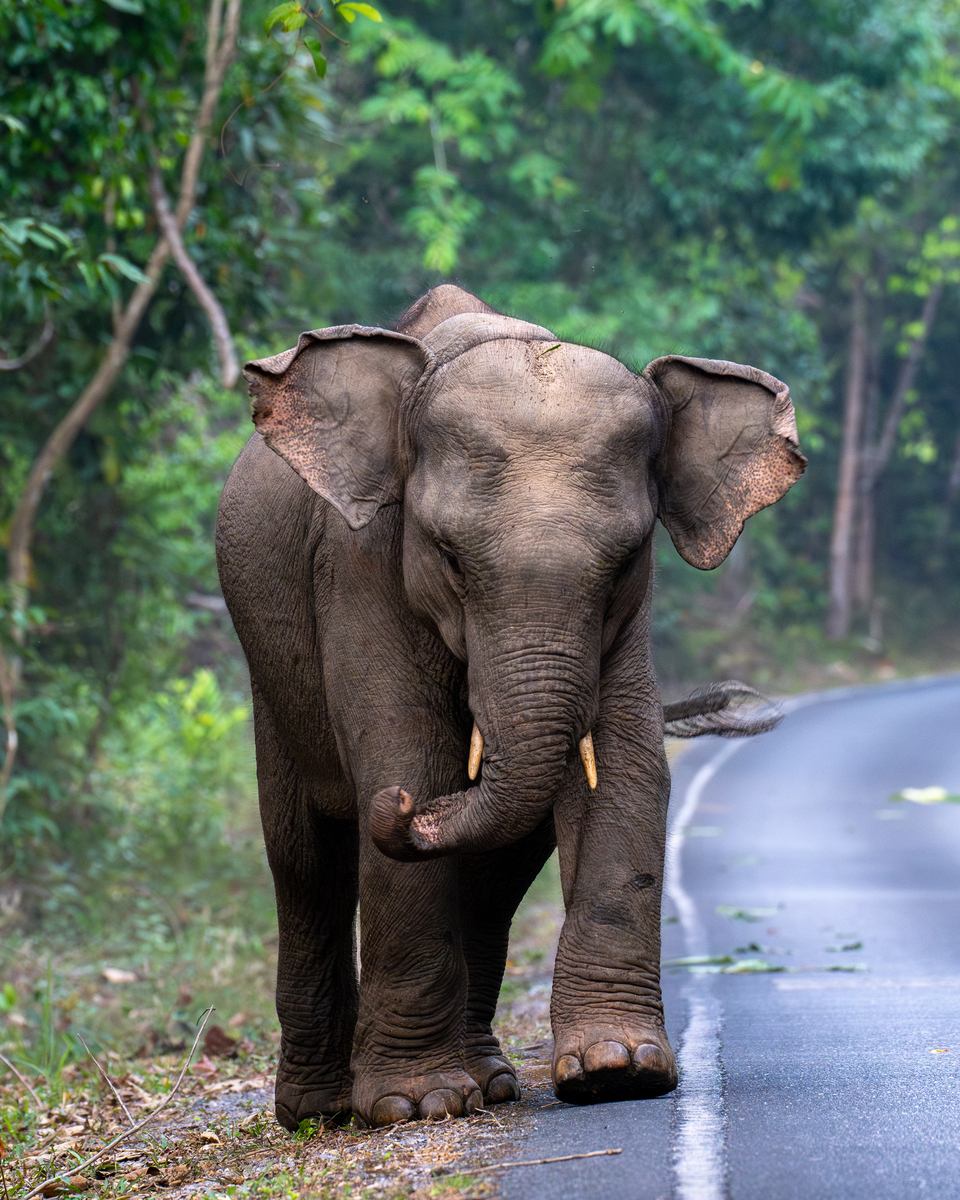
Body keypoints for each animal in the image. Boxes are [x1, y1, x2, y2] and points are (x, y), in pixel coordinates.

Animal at [216, 285, 801, 1128]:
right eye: (448, 557)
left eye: (626, 559)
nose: (404, 811)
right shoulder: (358, 561)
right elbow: (407, 752)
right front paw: (417, 1105)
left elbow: (626, 771)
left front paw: (617, 1070)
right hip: (271, 672)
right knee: (304, 860)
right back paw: (321, 1110)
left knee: (494, 875)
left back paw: (485, 1082)